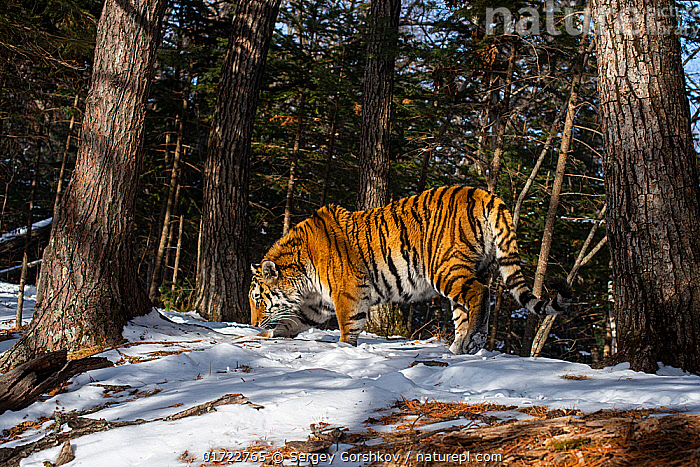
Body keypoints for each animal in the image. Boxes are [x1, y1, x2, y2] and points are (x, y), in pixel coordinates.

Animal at [249, 186, 573, 354]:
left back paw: (472, 340)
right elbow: (293, 322)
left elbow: (348, 326)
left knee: (480, 294)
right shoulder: (317, 305)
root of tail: (483, 193)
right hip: (472, 269)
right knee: (470, 306)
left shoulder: (347, 293)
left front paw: (343, 349)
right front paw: (265, 335)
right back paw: (458, 347)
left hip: (445, 267)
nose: (252, 323)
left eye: (257, 299)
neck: (302, 277)